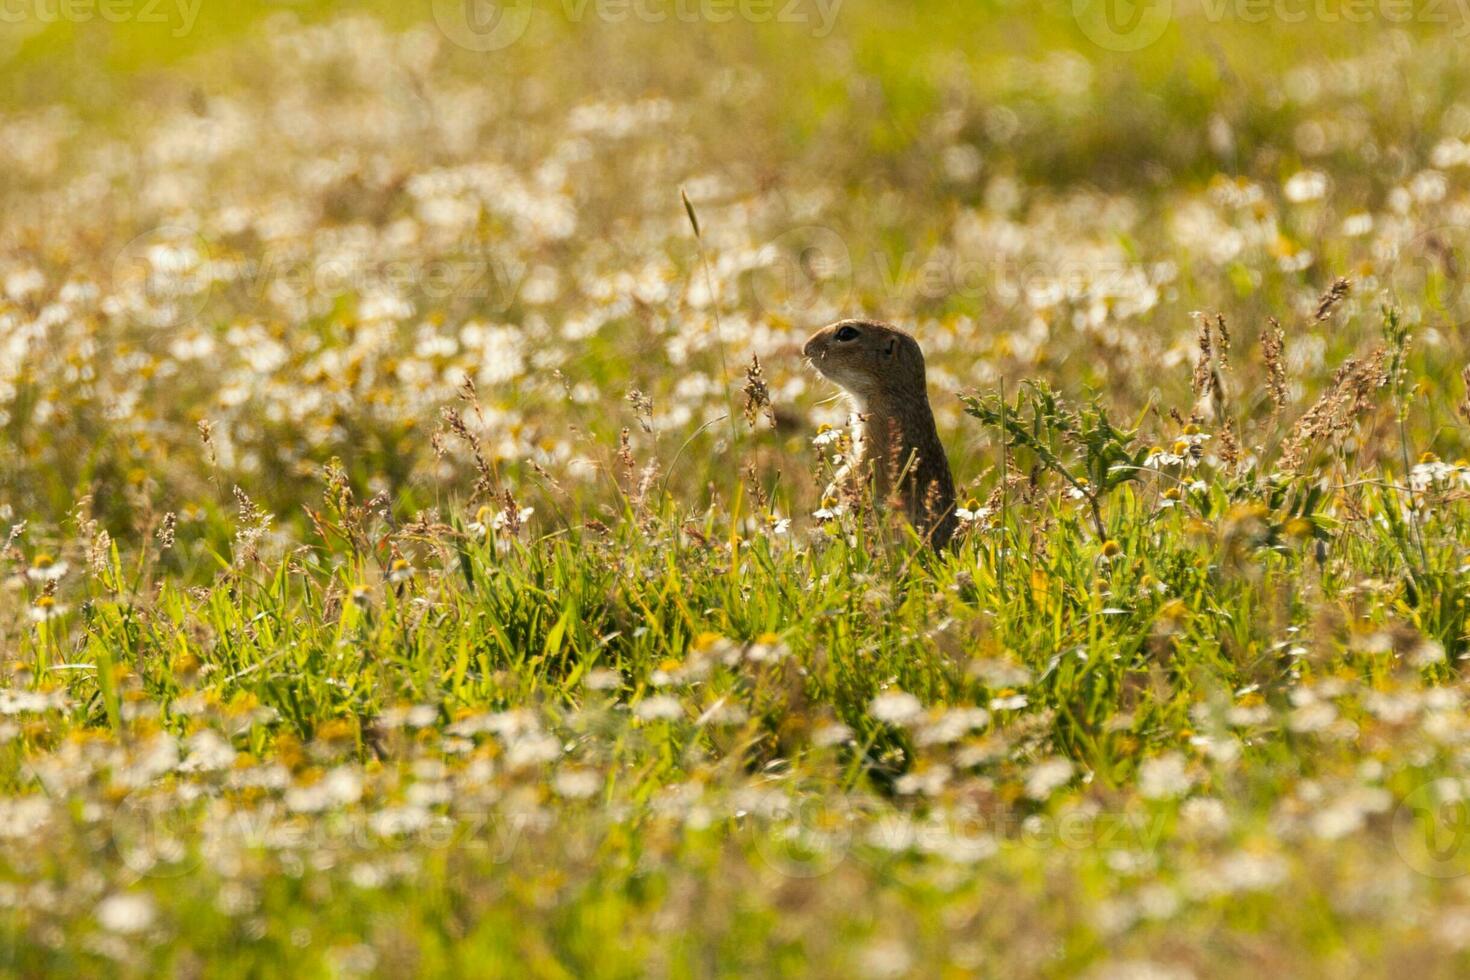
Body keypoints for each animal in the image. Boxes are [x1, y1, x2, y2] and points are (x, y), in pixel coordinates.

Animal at [799, 321, 958, 552]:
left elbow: (857, 469)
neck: (891, 391)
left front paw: (830, 494)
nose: (805, 348)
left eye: (846, 333)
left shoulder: (878, 433)